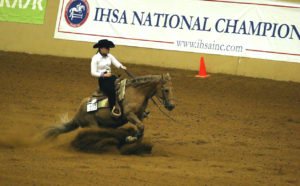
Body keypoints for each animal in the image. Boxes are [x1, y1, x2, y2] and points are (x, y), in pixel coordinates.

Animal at [44, 73, 176, 143]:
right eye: (166, 90)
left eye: (172, 89)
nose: (172, 106)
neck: (137, 93)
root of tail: (77, 115)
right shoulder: (129, 115)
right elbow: (141, 126)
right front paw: (131, 138)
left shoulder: (139, 116)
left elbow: (141, 127)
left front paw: (133, 138)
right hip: (92, 125)